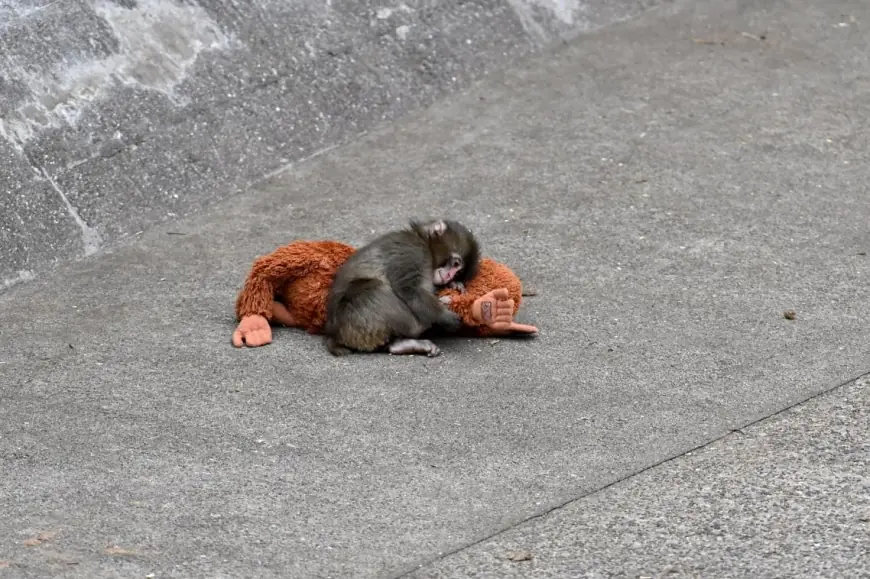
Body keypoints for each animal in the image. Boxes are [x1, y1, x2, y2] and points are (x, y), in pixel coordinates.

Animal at [323, 219, 481, 357]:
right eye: (455, 264)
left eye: (458, 272)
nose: (449, 276)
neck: (423, 242)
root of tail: (334, 334)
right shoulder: (412, 252)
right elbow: (409, 289)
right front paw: (445, 316)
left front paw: (454, 285)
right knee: (373, 288)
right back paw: (423, 325)